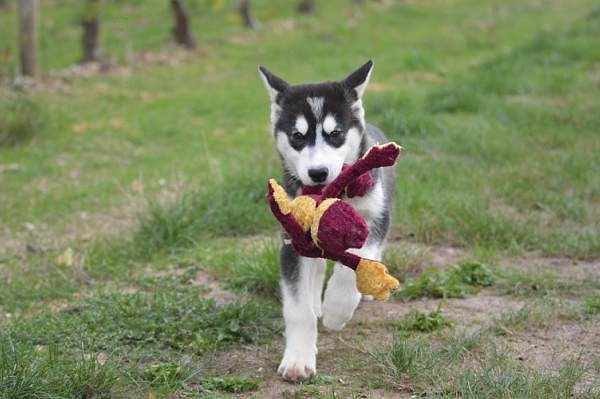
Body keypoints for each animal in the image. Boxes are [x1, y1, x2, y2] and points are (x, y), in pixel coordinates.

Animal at [258, 61, 396, 382]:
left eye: (336, 133)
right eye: (297, 137)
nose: (318, 173)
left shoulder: (375, 218)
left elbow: (354, 264)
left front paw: (337, 310)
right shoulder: (291, 240)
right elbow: (297, 308)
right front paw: (298, 359)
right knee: (318, 267)